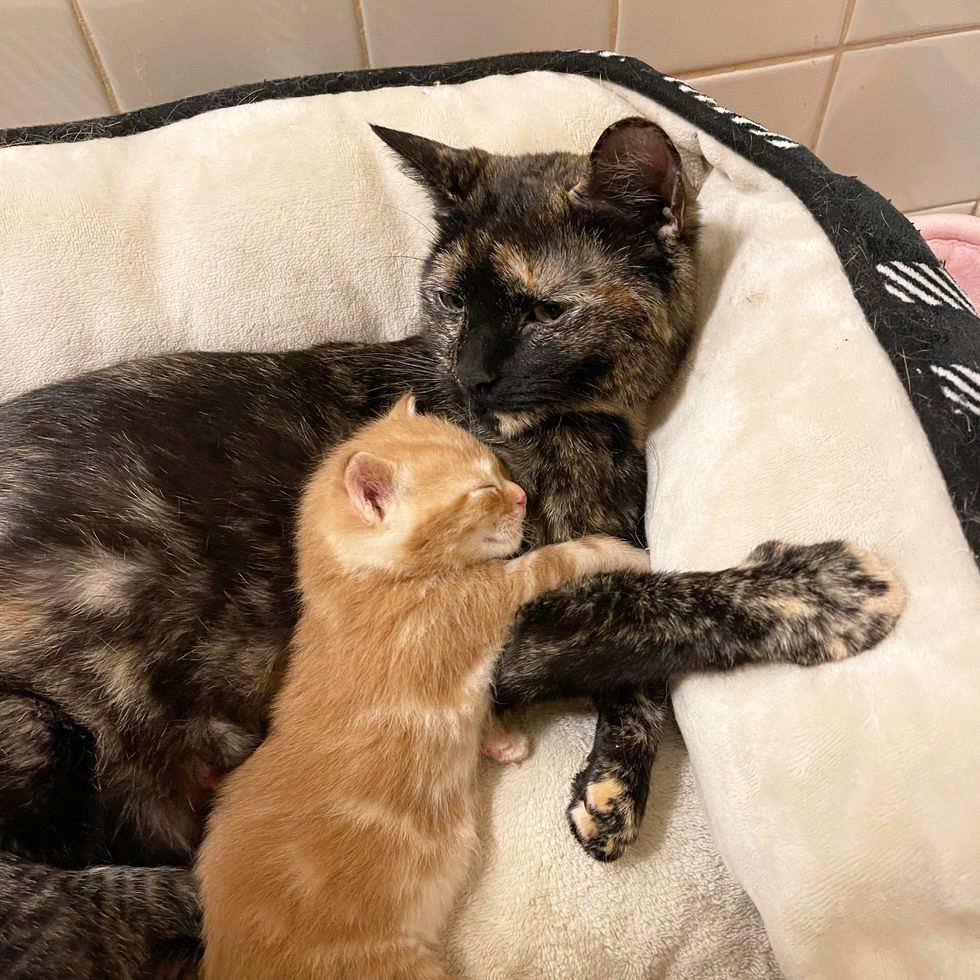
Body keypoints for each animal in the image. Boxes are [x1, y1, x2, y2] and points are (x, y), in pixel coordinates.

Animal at [197, 396, 652, 980]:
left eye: (499, 468)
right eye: (481, 490)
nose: (522, 495)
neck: (363, 581)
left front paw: (499, 739)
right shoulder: (478, 601)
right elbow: (556, 558)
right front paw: (625, 551)